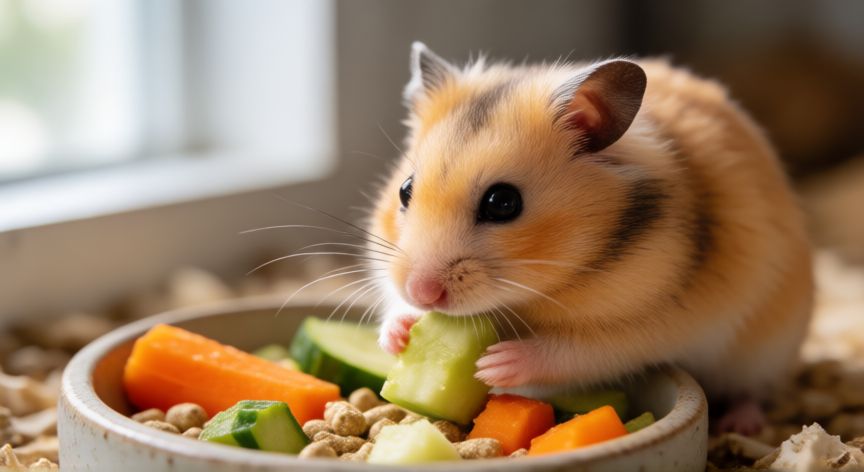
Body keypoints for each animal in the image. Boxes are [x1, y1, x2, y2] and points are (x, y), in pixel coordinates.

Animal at [368, 42, 813, 434]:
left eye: (503, 202)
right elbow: (392, 303)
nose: (422, 293)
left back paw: (741, 424)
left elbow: (580, 351)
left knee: (752, 391)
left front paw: (494, 364)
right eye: (405, 189)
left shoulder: (651, 322)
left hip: (765, 350)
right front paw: (399, 334)